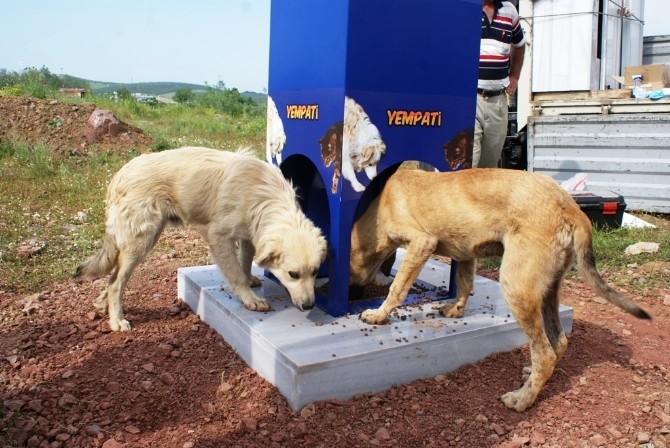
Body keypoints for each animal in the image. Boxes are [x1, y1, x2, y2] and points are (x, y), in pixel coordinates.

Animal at [75, 145, 330, 330]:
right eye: (293, 274)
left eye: (315, 272)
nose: (309, 305)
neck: (264, 195)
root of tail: (119, 175)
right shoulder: (218, 237)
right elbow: (235, 273)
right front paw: (249, 297)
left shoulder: (250, 235)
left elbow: (245, 262)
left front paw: (249, 279)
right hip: (141, 241)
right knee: (116, 282)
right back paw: (117, 320)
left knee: (113, 277)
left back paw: (103, 304)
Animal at [352, 169, 652, 412]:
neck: (380, 206)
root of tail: (571, 207)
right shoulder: (466, 252)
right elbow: (464, 282)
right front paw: (456, 309)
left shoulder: (422, 242)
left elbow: (397, 288)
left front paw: (378, 314)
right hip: (547, 290)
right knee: (558, 343)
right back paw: (531, 376)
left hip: (516, 286)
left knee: (544, 353)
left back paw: (522, 399)